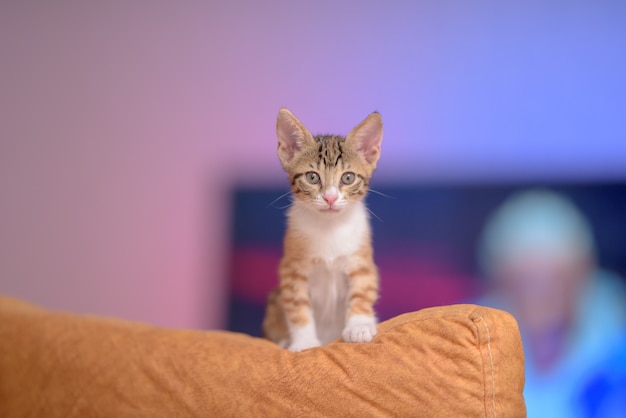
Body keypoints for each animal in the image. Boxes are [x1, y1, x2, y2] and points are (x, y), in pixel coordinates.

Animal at [262, 108, 382, 352]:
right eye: (312, 177)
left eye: (348, 177)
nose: (330, 198)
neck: (329, 227)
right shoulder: (292, 268)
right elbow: (297, 305)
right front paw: (304, 343)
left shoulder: (361, 260)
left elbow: (362, 290)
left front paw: (359, 326)